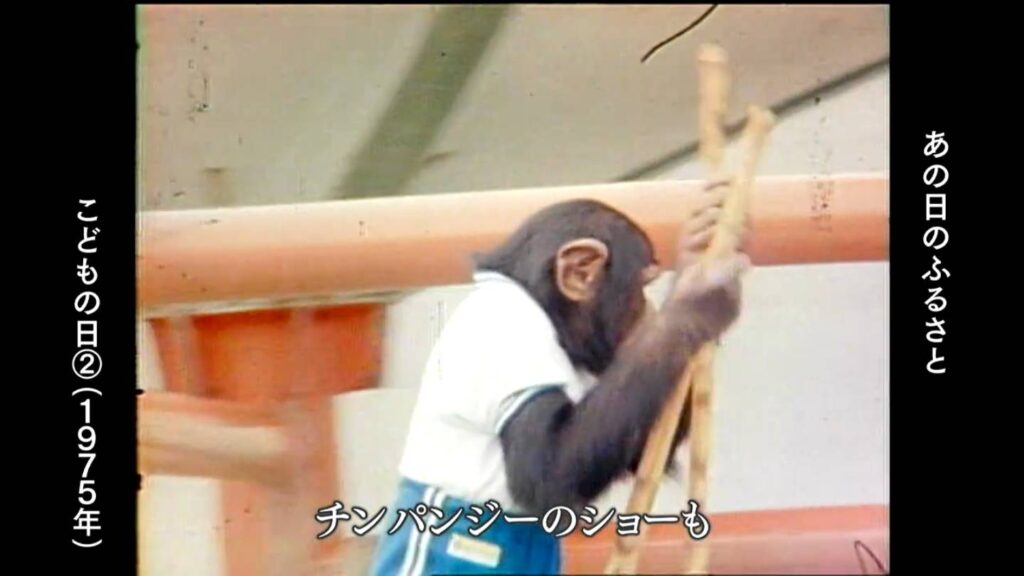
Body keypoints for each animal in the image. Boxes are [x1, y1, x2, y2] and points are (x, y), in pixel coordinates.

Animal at [369, 185, 747, 575]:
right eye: (642, 285)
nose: (647, 311)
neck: (540, 301)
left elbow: (639, 453)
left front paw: (696, 243)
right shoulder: (512, 339)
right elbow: (548, 469)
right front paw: (696, 299)